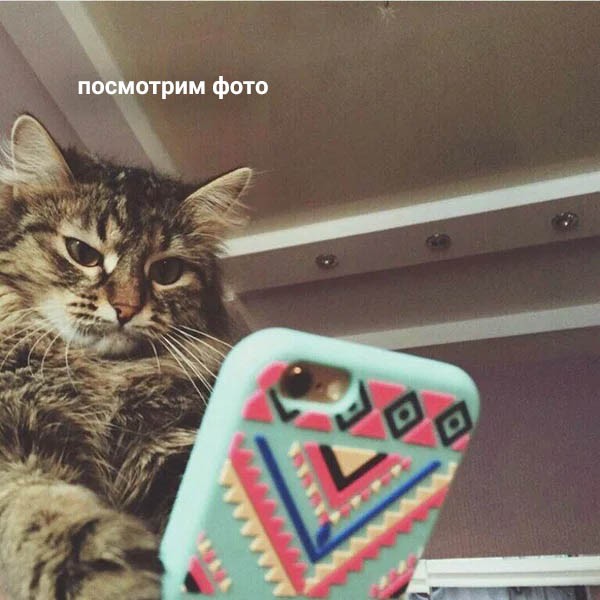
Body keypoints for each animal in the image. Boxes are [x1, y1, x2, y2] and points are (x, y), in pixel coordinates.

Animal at [0, 114, 252, 600]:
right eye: (83, 253)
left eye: (166, 272)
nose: (126, 308)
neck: (100, 375)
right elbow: (54, 520)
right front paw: (116, 574)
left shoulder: (169, 442)